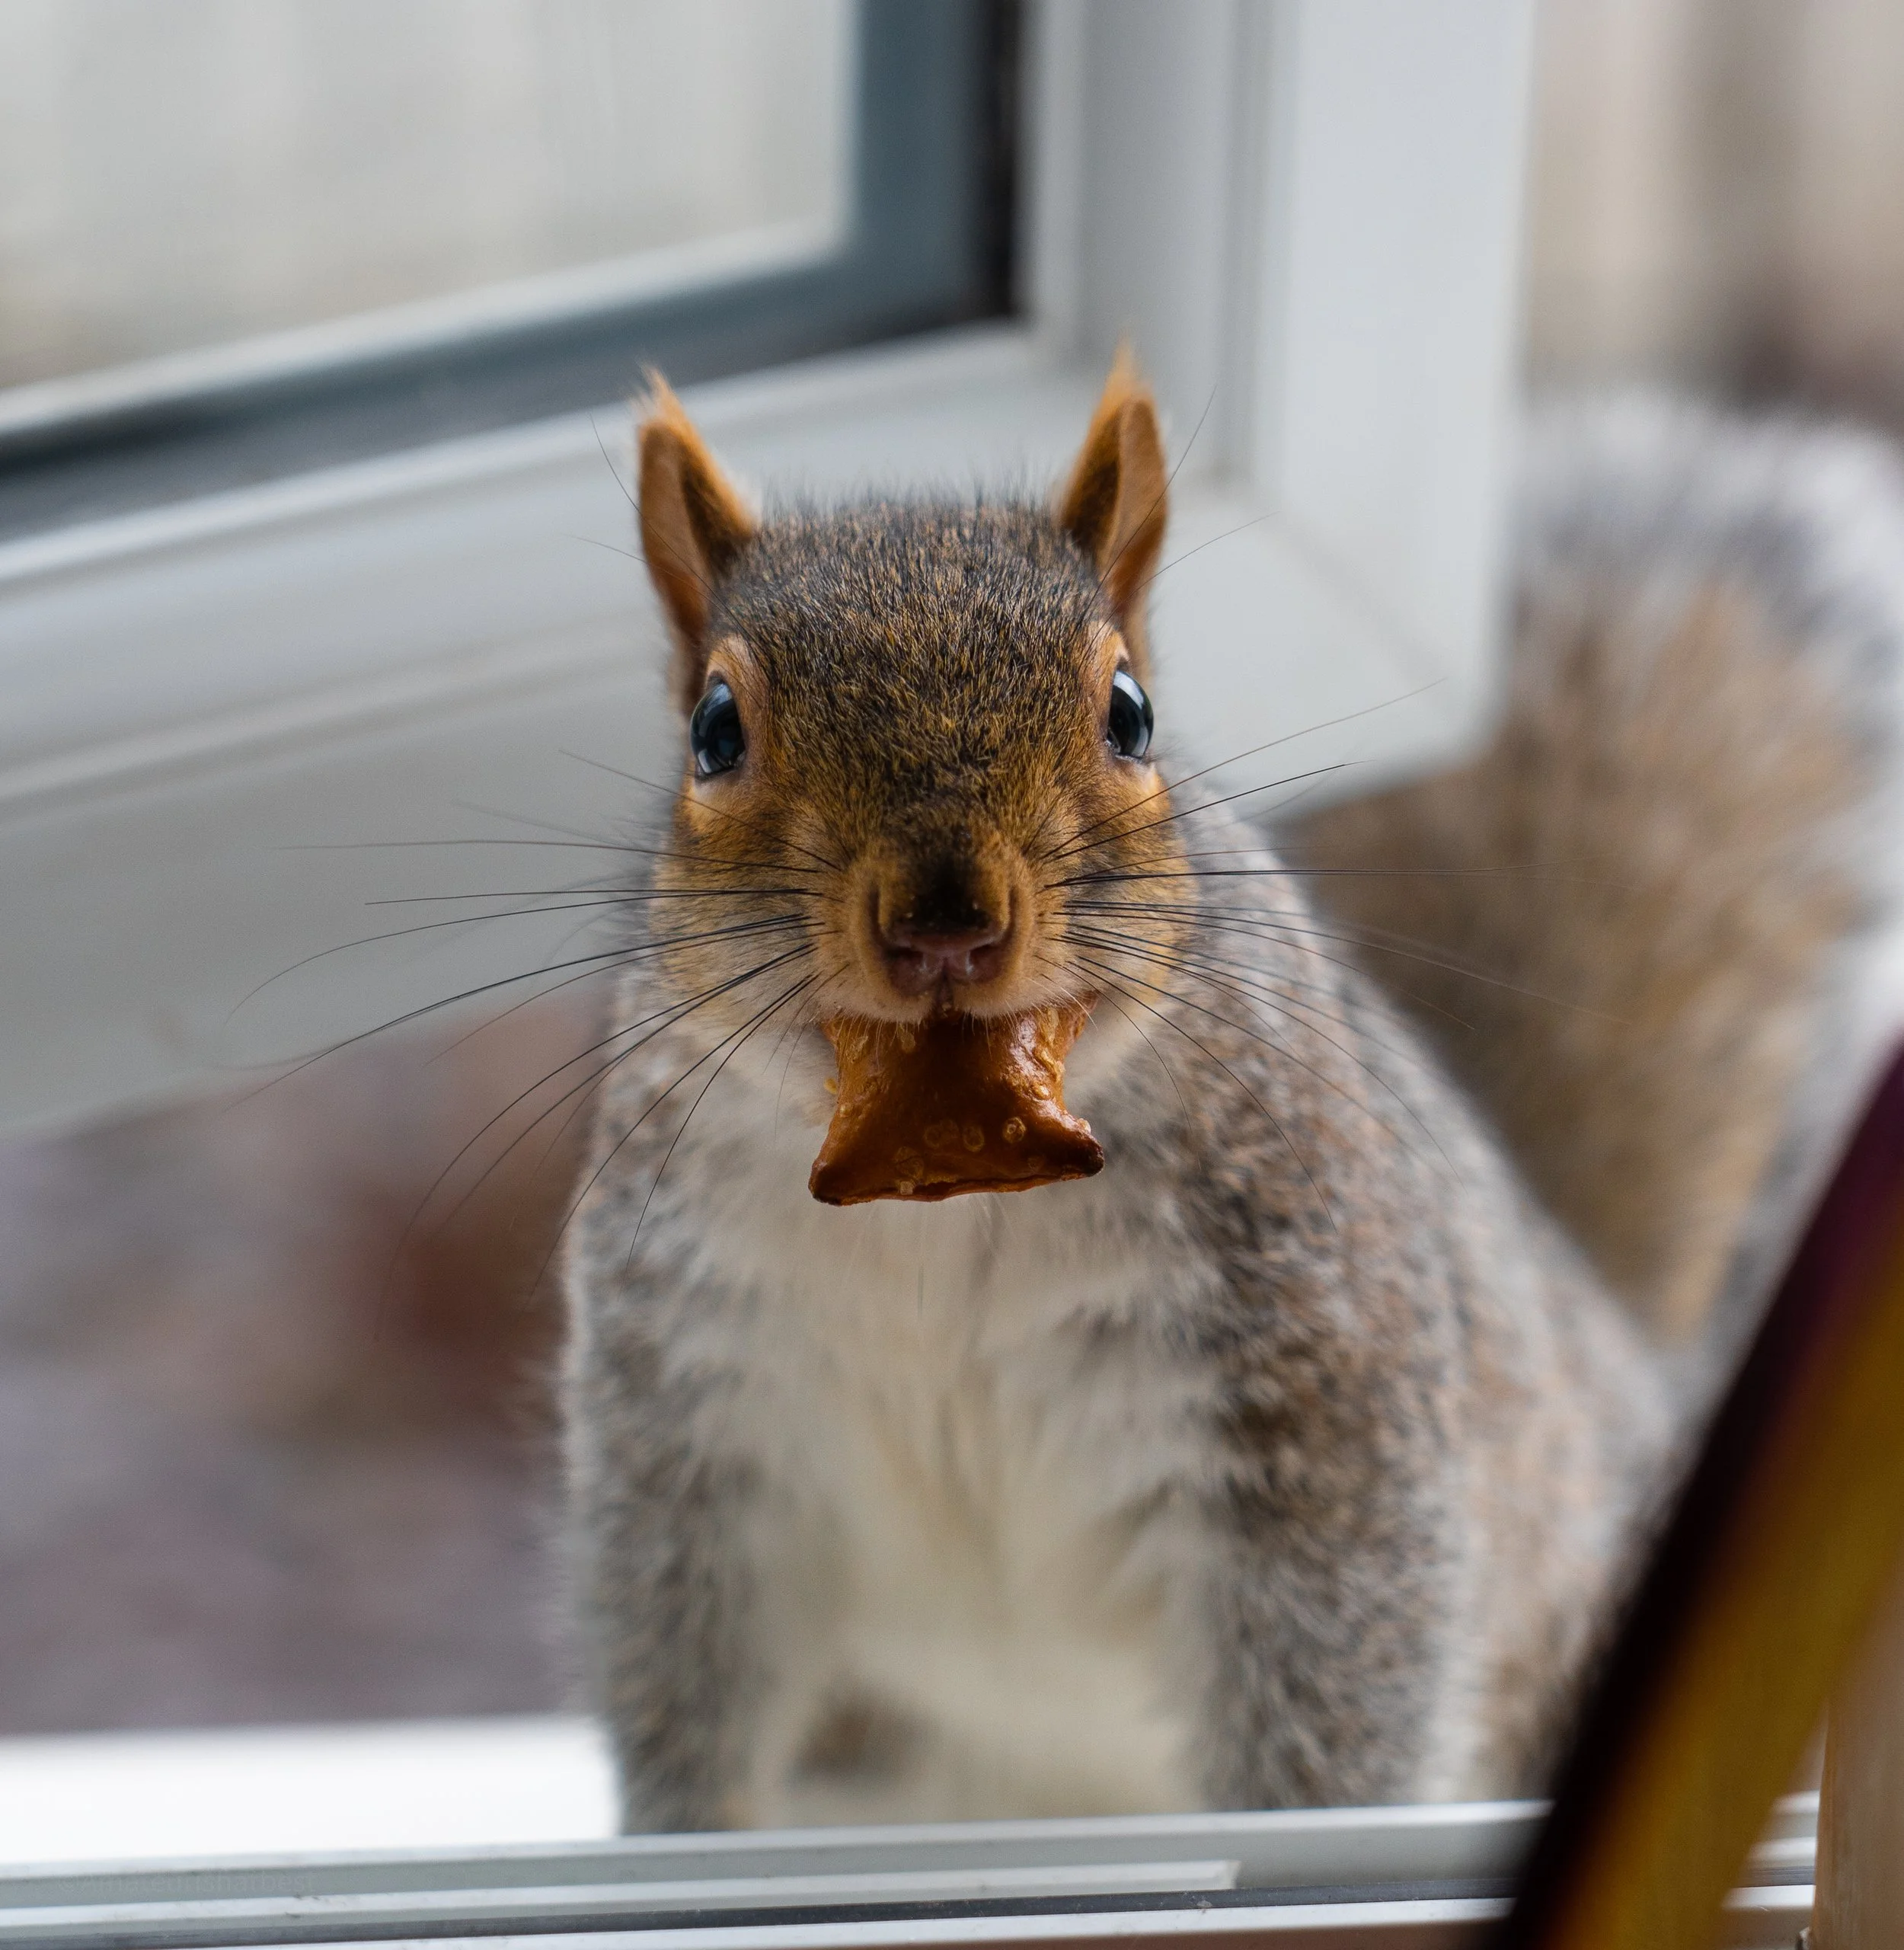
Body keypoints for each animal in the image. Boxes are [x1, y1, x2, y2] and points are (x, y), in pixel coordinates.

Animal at [561, 358, 1904, 1830]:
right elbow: (684, 1673)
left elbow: (1340, 1680)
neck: (950, 1193)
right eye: (715, 730)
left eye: (1131, 712)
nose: (945, 925)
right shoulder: (695, 1417)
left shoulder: (1318, 1389)